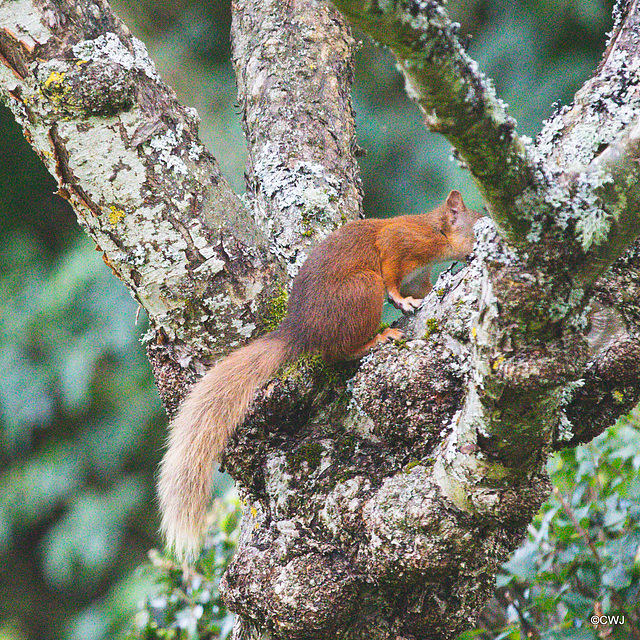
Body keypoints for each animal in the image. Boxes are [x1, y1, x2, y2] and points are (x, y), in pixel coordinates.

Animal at [159, 190, 480, 560]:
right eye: (479, 225)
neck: (437, 232)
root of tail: (303, 330)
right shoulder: (401, 240)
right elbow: (390, 270)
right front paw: (401, 300)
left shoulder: (418, 275)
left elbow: (421, 289)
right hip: (362, 289)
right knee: (339, 350)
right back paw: (377, 338)